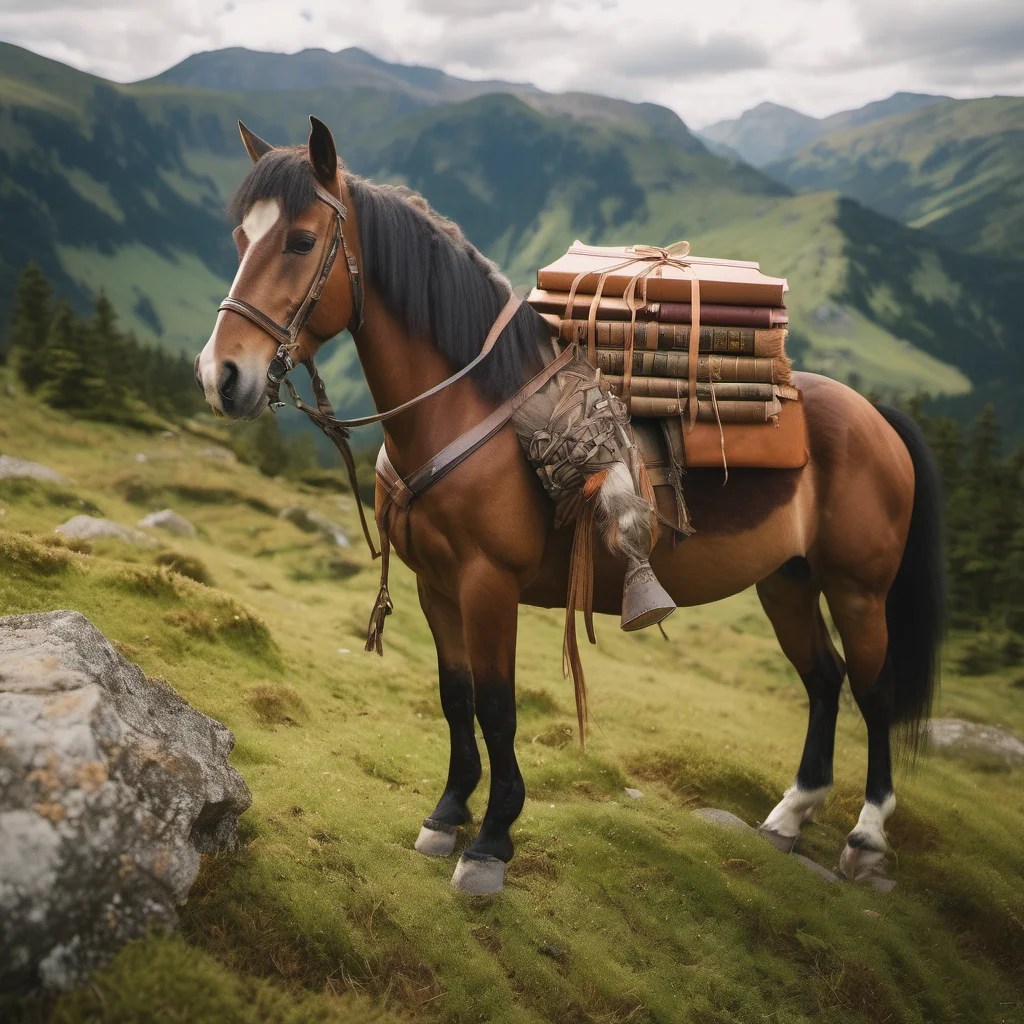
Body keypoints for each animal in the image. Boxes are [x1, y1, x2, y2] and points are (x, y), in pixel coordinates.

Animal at [195, 115, 945, 895]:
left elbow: (496, 707)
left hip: (858, 589)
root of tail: (876, 415)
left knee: (874, 692)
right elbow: (455, 696)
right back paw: (792, 815)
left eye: (301, 241)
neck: (467, 408)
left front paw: (491, 840)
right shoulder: (436, 586)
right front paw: (447, 814)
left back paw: (865, 837)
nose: (222, 376)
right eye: (242, 239)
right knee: (824, 681)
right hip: (787, 581)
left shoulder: (488, 584)